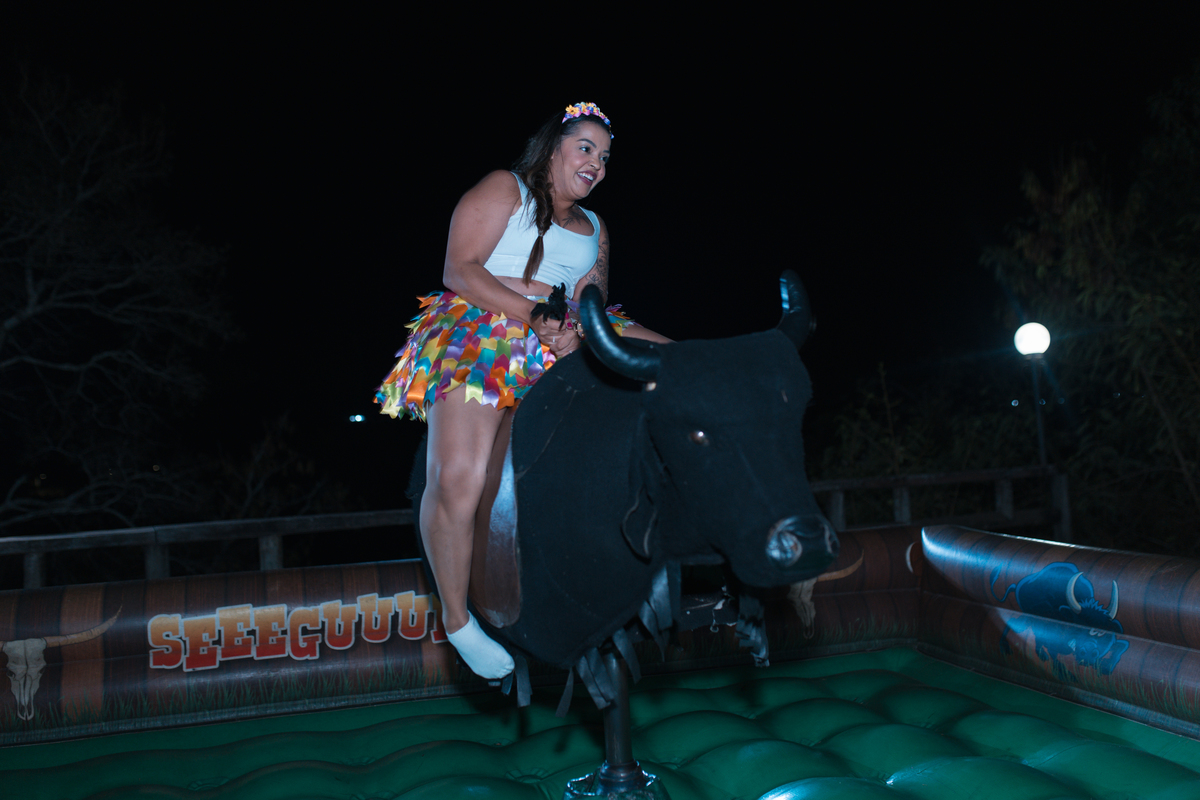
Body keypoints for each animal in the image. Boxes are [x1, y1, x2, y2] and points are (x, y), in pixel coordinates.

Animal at [990, 563, 1127, 680]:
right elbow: (1055, 655)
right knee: (1014, 622)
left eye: (1103, 630)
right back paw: (1005, 647)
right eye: (1078, 621)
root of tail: (1018, 585)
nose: (1089, 653)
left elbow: (1122, 645)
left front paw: (1105, 668)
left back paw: (1040, 654)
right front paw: (1066, 674)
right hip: (1027, 617)